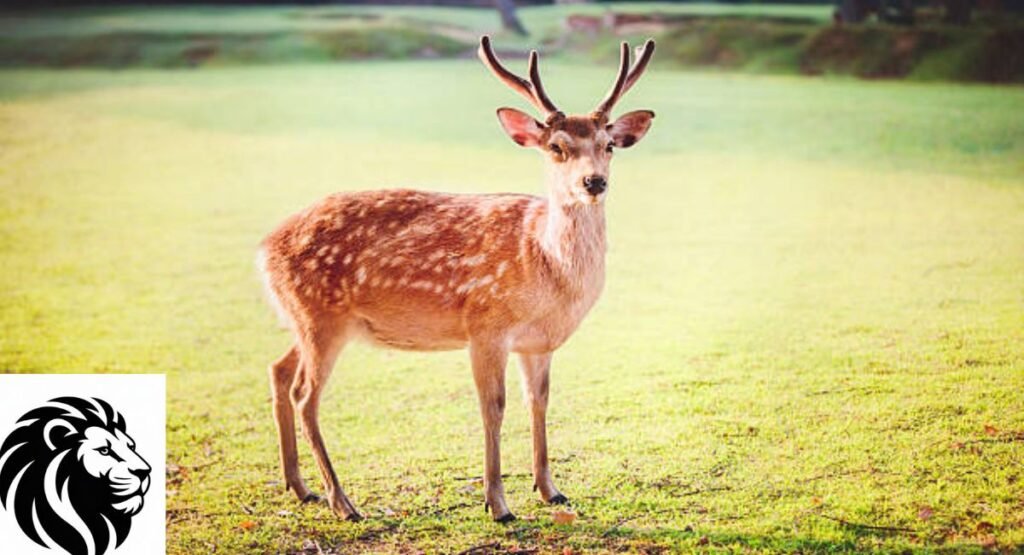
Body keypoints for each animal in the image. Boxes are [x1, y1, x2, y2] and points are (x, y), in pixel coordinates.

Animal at [258, 35, 656, 523]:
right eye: (557, 147)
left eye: (609, 145)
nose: (593, 182)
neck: (546, 267)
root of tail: (264, 249)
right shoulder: (486, 326)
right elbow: (493, 407)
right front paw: (498, 504)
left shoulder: (537, 342)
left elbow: (539, 401)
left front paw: (550, 489)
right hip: (319, 317)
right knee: (304, 395)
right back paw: (342, 501)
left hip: (305, 319)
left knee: (278, 371)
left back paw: (300, 487)